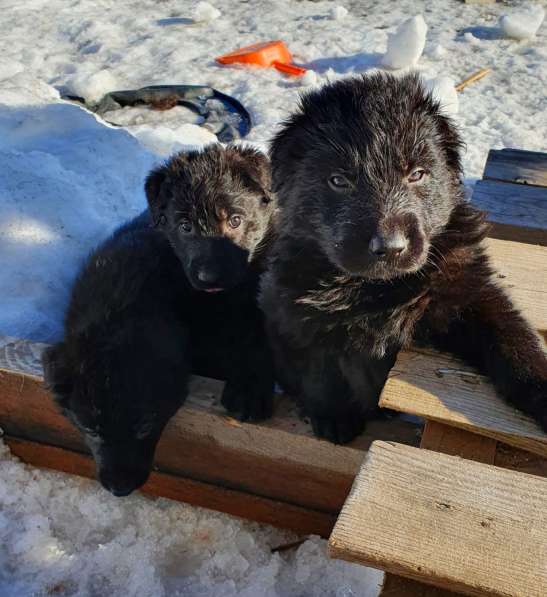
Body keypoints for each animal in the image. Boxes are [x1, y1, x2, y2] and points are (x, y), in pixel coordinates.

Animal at [262, 72, 547, 442]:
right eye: (338, 180)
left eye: (417, 174)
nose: (391, 247)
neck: (375, 289)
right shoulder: (290, 310)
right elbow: (317, 368)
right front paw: (334, 416)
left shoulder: (469, 289)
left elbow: (514, 340)